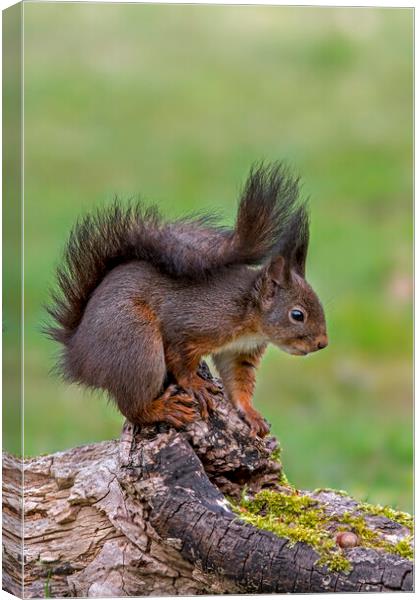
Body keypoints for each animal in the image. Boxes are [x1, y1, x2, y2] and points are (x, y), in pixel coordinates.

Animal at [46, 164, 328, 436]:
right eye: (297, 315)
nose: (322, 344)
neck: (248, 314)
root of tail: (76, 356)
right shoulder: (188, 326)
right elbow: (180, 360)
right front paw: (194, 384)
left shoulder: (239, 352)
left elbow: (238, 381)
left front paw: (250, 413)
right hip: (136, 345)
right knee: (133, 406)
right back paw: (162, 409)